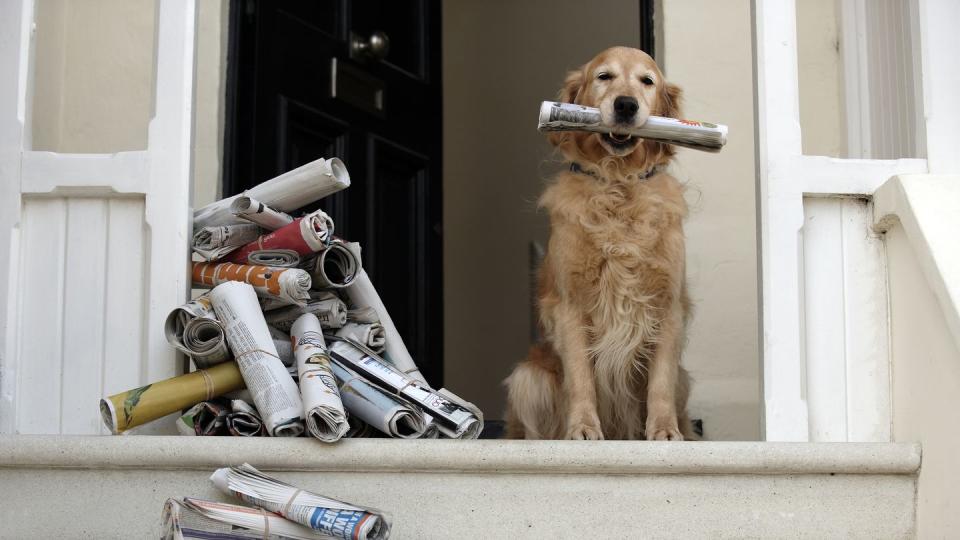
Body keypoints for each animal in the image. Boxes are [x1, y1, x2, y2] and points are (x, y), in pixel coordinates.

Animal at [502, 46, 696, 440]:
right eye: (604, 77)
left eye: (646, 81)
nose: (625, 105)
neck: (619, 184)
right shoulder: (570, 305)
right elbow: (580, 377)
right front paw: (582, 427)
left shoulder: (668, 303)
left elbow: (661, 382)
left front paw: (665, 431)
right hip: (528, 378)